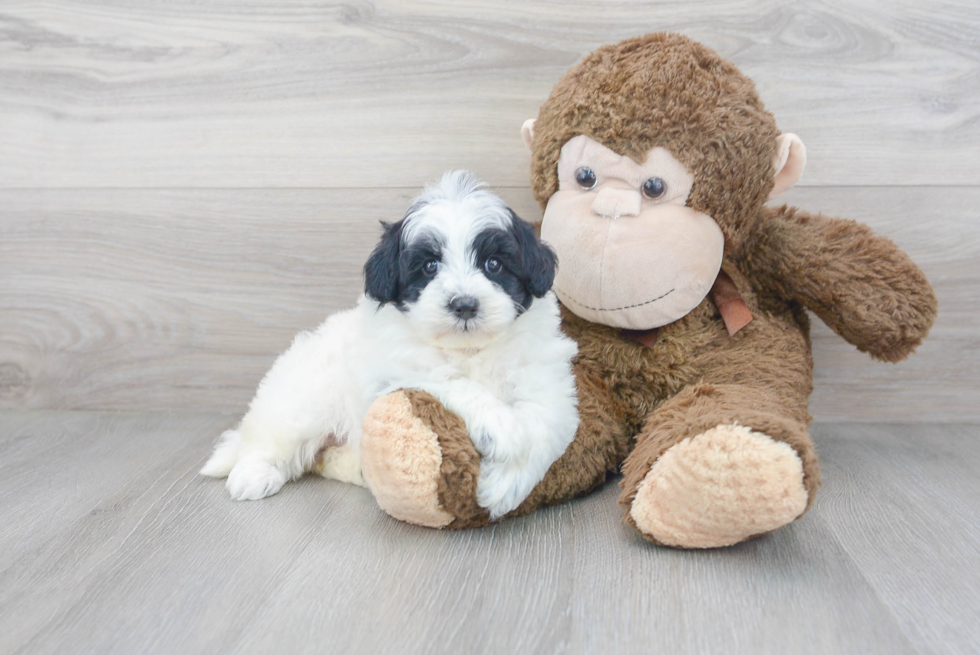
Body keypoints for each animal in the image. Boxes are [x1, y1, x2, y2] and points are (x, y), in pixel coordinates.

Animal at [202, 172, 580, 520]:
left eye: (494, 264)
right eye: (429, 266)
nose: (464, 305)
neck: (468, 350)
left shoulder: (547, 383)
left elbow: (546, 426)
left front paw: (504, 487)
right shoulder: (396, 376)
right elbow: (453, 383)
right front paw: (501, 427)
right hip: (303, 402)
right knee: (271, 439)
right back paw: (253, 475)